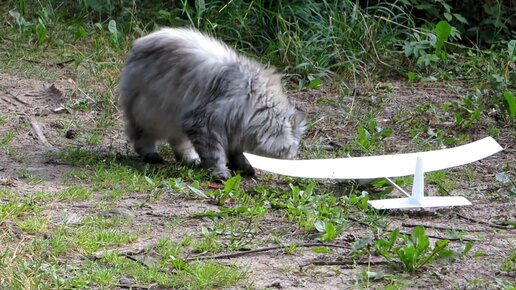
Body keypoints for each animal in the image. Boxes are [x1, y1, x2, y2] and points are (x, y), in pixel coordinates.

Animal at [120, 28, 306, 180]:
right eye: (289, 150)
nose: (292, 159)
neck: (253, 102)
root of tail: (140, 42)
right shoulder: (204, 123)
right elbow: (215, 154)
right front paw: (220, 173)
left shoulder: (233, 130)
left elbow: (237, 154)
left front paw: (243, 167)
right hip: (152, 113)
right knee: (142, 136)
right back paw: (151, 154)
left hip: (176, 118)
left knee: (179, 142)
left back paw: (190, 159)